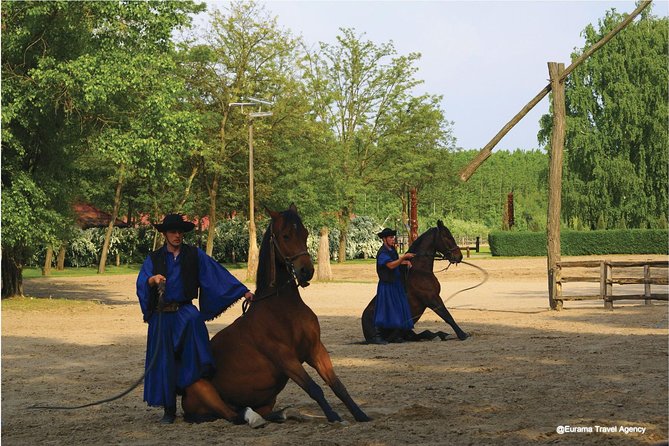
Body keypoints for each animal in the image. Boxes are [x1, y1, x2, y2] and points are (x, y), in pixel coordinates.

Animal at [182, 204, 371, 427]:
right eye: (286, 236)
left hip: (267, 401)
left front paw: (360, 415)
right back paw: (254, 417)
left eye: (305, 233)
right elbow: (314, 388)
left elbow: (337, 385)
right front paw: (334, 417)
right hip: (203, 389)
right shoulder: (285, 358)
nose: (306, 271)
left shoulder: (315, 350)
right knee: (234, 415)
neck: (282, 308)